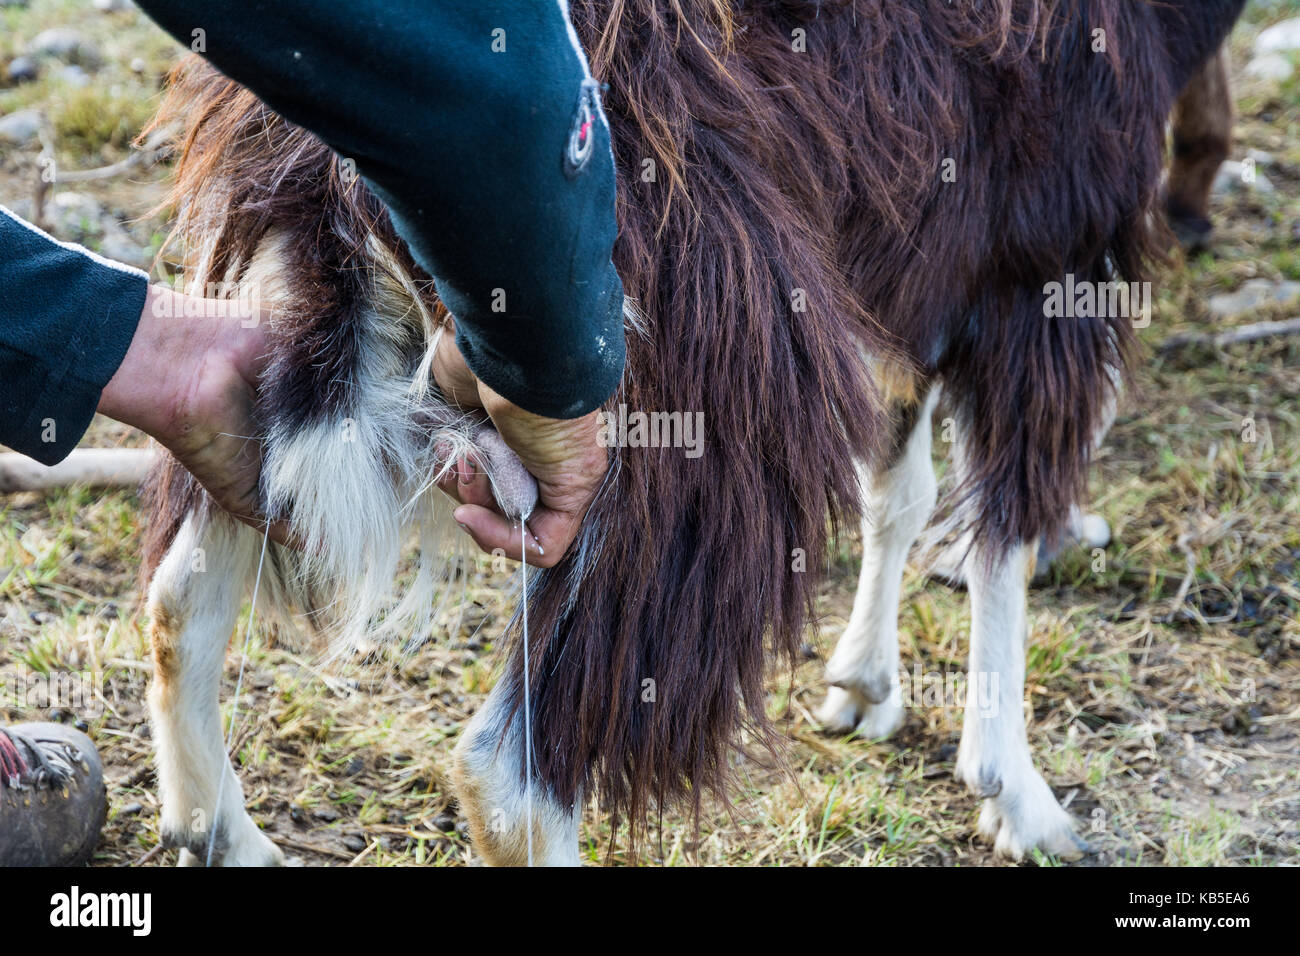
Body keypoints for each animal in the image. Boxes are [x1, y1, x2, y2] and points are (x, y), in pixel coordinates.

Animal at [137, 0, 1242, 868]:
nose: (1195, 210)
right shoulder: (1044, 266)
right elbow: (1005, 532)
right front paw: (1019, 796)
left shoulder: (912, 275)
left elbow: (902, 486)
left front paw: (865, 682)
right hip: (693, 410)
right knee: (513, 777)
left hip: (282, 326)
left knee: (182, 594)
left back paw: (225, 836)